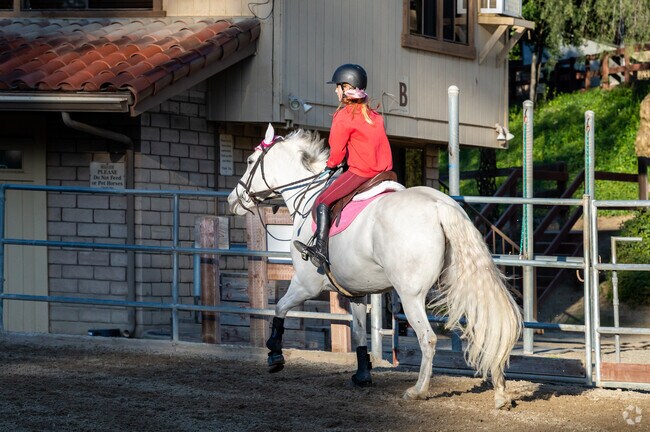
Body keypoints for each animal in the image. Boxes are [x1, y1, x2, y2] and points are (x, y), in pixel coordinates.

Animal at [227, 124, 522, 409]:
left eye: (250, 160)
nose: (232, 200)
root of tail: (440, 205)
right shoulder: (356, 293)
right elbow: (359, 334)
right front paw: (362, 375)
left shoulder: (306, 285)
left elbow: (279, 309)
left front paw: (274, 354)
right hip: (460, 282)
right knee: (486, 325)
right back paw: (500, 394)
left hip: (411, 295)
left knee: (428, 339)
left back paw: (419, 391)